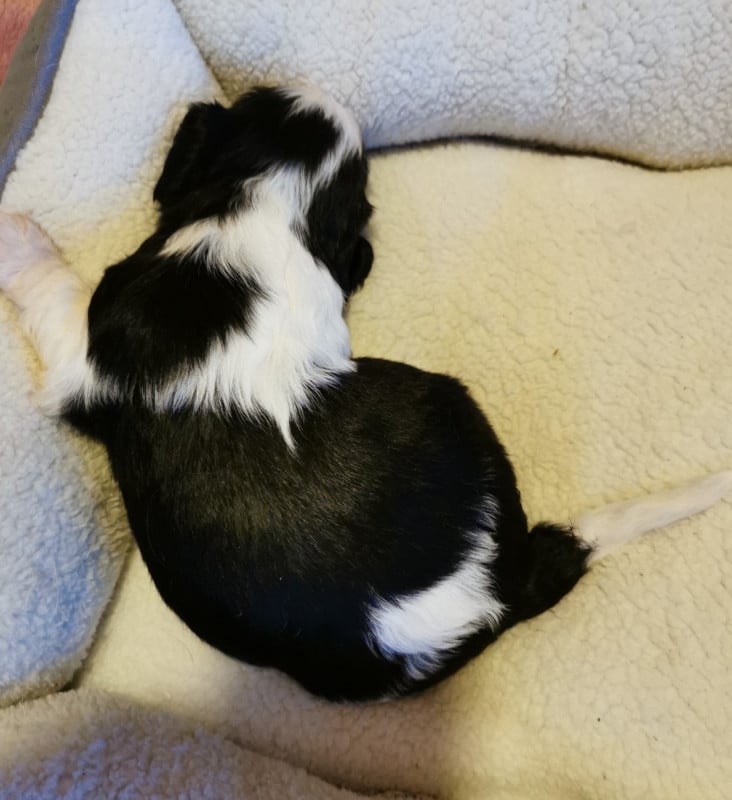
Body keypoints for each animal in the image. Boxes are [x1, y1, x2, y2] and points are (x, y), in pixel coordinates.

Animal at [1, 85, 730, 702]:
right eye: (263, 98)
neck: (271, 206)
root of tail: (503, 584)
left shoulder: (86, 352)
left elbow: (54, 289)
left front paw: (16, 232)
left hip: (449, 397)